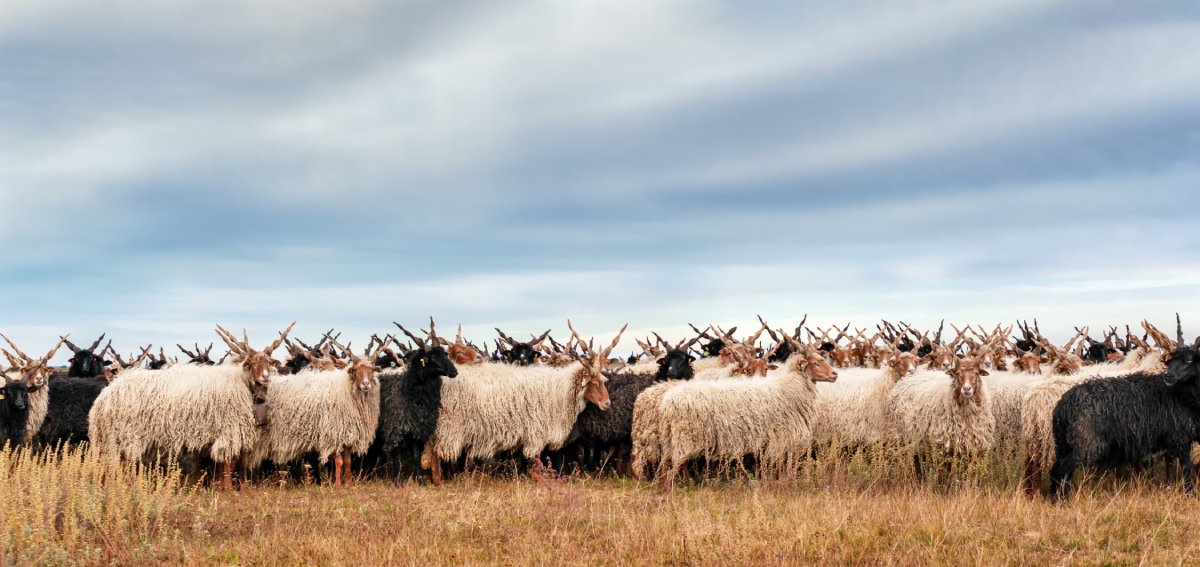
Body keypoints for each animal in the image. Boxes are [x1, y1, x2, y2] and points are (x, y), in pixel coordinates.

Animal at [88, 321, 295, 490]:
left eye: (268, 362)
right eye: (251, 363)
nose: (266, 377)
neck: (240, 383)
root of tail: (104, 398)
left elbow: (219, 466)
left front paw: (218, 487)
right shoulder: (228, 431)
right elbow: (227, 464)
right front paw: (228, 491)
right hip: (124, 436)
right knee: (116, 466)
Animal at [374, 321, 458, 480]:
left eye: (445, 354)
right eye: (432, 357)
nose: (454, 372)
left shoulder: (417, 428)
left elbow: (416, 456)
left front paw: (420, 480)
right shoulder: (395, 427)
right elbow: (397, 458)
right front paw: (397, 480)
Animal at [420, 321, 628, 485]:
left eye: (603, 380)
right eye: (594, 383)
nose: (607, 403)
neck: (559, 389)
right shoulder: (536, 430)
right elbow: (535, 459)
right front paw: (540, 478)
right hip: (448, 425)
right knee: (436, 451)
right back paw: (438, 480)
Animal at [652, 338, 840, 485]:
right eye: (815, 363)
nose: (835, 374)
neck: (790, 386)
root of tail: (667, 402)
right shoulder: (780, 437)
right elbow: (778, 466)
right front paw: (780, 484)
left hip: (671, 441)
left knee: (667, 466)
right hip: (684, 439)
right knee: (672, 469)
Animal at [1046, 324, 1200, 499]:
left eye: (1189, 359)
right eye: (1170, 360)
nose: (1167, 376)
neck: (1183, 394)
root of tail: (1064, 404)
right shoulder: (1181, 438)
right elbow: (1187, 471)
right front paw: (1190, 495)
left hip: (1063, 443)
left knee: (1059, 468)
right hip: (1085, 443)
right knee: (1061, 470)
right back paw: (1061, 500)